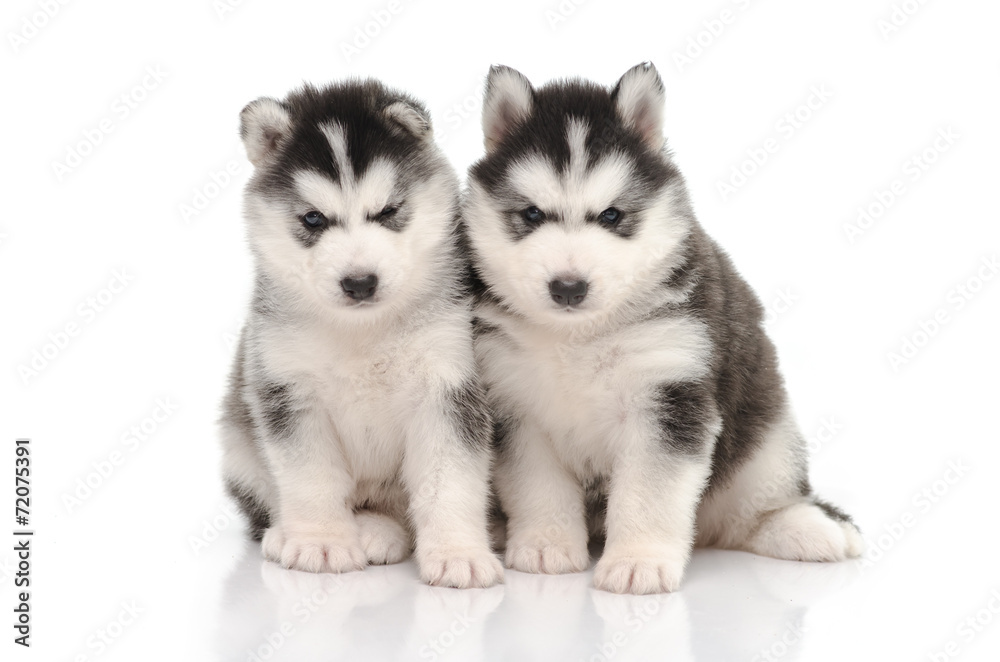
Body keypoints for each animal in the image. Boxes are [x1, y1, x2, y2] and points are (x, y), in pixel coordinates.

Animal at [219, 79, 500, 592]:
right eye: (313, 219)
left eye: (387, 211)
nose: (360, 282)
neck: (363, 331)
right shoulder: (289, 387)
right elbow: (311, 476)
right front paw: (321, 542)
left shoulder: (447, 384)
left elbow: (449, 480)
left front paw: (459, 554)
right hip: (238, 445)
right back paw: (299, 532)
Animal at [464, 63, 864, 596]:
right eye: (531, 214)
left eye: (612, 215)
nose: (568, 287)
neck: (578, 336)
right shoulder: (516, 405)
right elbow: (538, 486)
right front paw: (546, 545)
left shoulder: (668, 395)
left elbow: (649, 492)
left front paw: (639, 562)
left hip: (767, 437)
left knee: (751, 510)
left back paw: (807, 528)